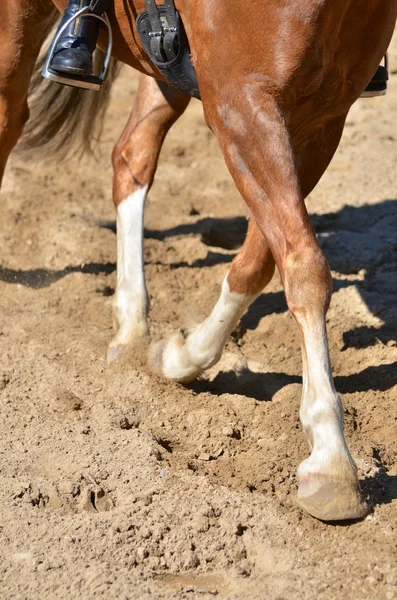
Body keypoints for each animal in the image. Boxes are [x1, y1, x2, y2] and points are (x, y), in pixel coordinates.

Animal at [1, 1, 394, 520]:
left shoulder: (321, 119)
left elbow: (263, 262)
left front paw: (180, 354)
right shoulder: (241, 106)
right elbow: (305, 268)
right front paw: (330, 459)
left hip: (162, 69)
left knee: (132, 153)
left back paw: (131, 327)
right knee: (10, 118)